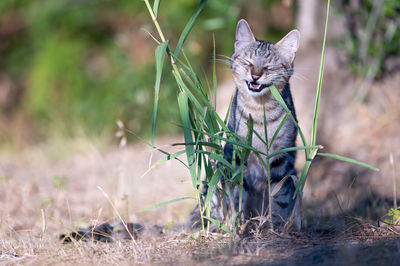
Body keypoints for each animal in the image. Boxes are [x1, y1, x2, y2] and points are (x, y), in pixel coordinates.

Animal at [189, 18, 302, 232]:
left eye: (269, 67)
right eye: (248, 63)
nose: (255, 75)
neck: (259, 112)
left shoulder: (281, 158)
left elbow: (279, 197)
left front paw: (276, 227)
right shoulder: (236, 155)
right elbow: (236, 196)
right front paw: (237, 225)